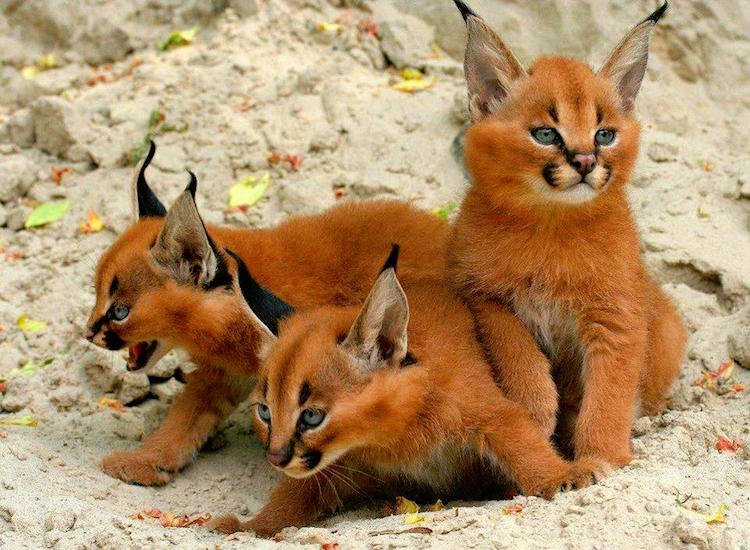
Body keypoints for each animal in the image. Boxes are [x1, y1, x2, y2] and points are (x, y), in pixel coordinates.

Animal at [84, 142, 450, 488]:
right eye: (96, 293)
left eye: (119, 311)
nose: (87, 332)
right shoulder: (223, 374)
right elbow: (185, 417)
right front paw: (146, 461)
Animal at [210, 247, 604, 540]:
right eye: (264, 411)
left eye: (311, 415)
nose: (275, 458)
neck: (392, 437)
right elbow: (294, 492)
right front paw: (252, 526)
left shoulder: (488, 410)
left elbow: (522, 439)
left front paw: (560, 476)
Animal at [450, 1, 692, 470]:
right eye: (546, 134)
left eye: (605, 134)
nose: (584, 161)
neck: (552, 223)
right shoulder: (482, 295)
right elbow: (516, 347)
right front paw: (534, 411)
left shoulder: (617, 315)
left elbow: (610, 393)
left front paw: (603, 457)